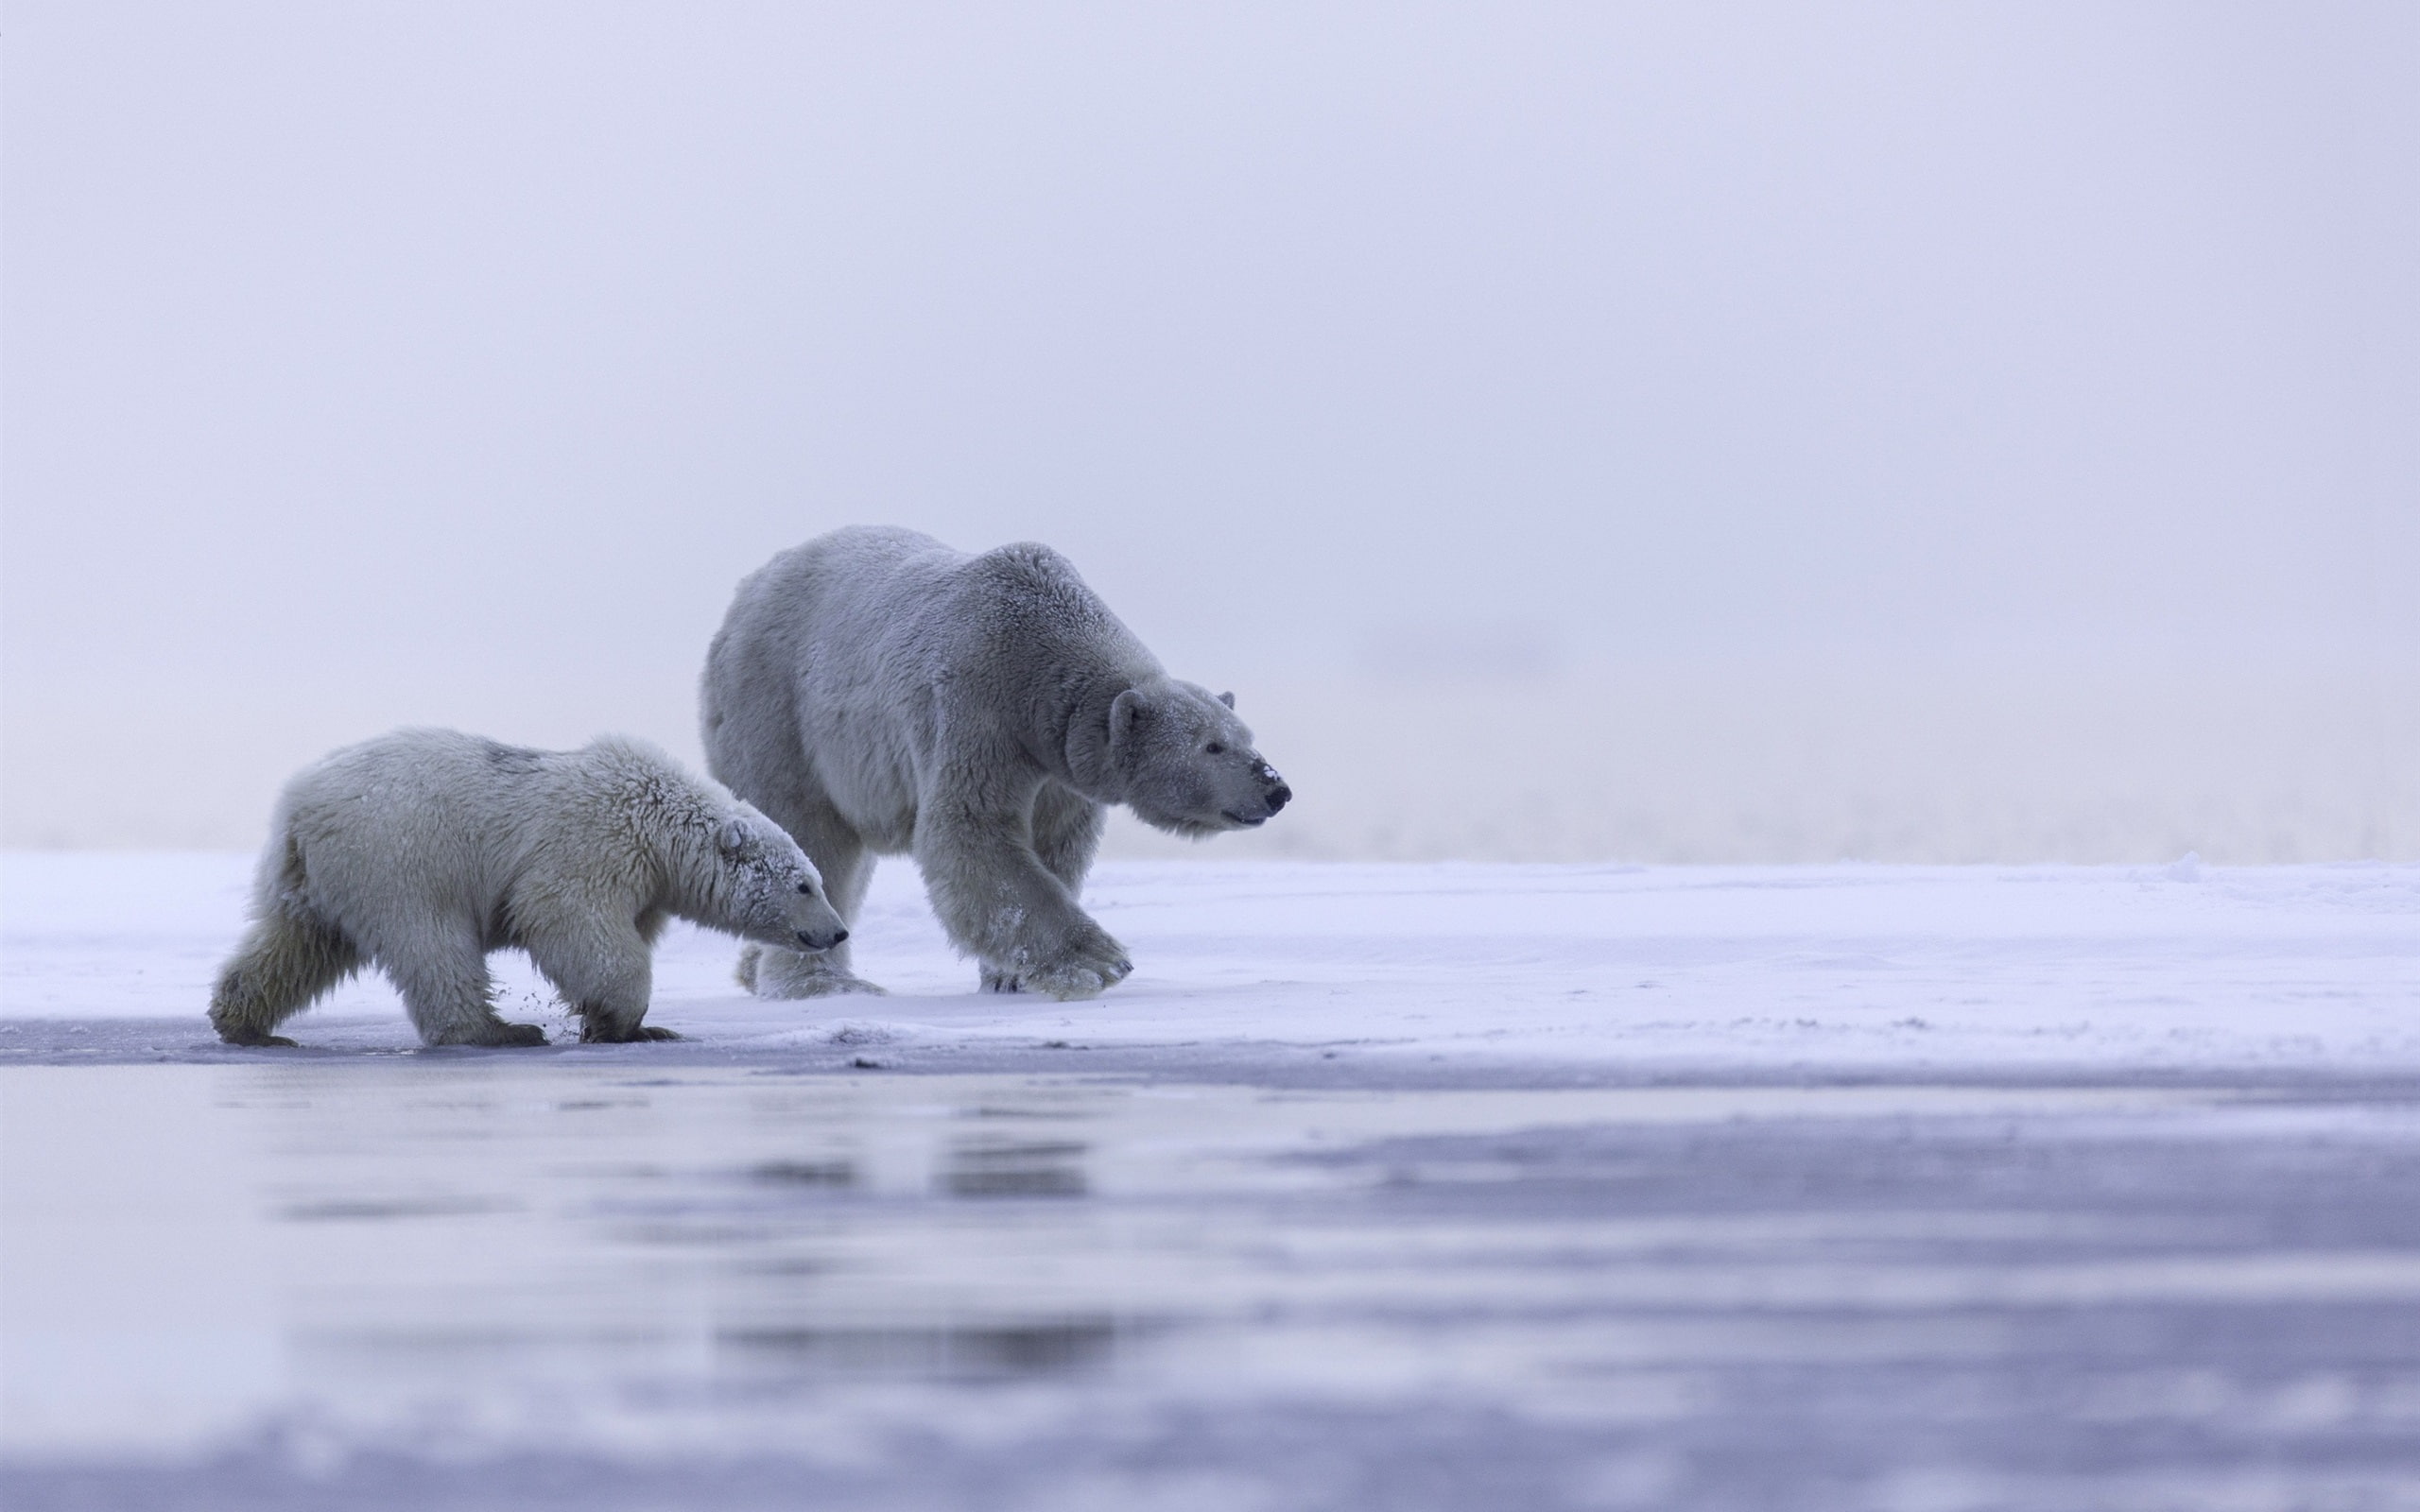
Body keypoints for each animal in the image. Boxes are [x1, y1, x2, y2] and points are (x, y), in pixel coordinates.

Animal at [208, 728, 850, 1048]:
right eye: (804, 885)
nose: (839, 931)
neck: (656, 819)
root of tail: (299, 809)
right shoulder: (592, 845)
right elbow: (571, 921)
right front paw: (627, 1024)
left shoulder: (645, 882)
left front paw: (629, 1025)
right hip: (400, 857)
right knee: (433, 944)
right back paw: (499, 1031)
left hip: (317, 880)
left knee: (295, 944)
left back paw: (245, 1025)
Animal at [700, 525, 1291, 1001]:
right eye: (1213, 746)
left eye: (1246, 736)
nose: (1276, 790)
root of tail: (744, 594)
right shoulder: (978, 703)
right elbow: (970, 831)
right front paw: (1098, 962)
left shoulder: (1059, 763)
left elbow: (1055, 843)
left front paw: (1009, 977)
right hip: (781, 712)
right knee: (808, 832)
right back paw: (823, 982)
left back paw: (754, 971)